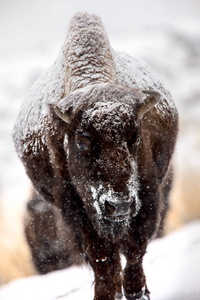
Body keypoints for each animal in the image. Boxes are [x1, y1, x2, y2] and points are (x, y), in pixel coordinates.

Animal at [14, 12, 178, 300]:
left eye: (135, 137)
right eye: (81, 140)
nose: (119, 204)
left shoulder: (147, 196)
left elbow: (135, 249)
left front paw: (137, 292)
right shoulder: (76, 210)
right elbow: (102, 257)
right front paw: (106, 294)